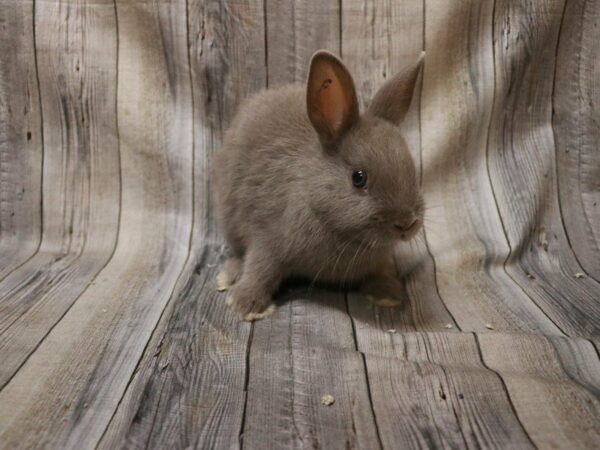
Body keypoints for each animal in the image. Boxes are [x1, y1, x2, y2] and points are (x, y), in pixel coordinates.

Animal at [213, 50, 424, 320]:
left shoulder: (380, 260)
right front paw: (246, 306)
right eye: (358, 177)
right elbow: (259, 268)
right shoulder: (267, 238)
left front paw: (387, 296)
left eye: (411, 167)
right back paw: (228, 276)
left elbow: (382, 271)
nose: (406, 223)